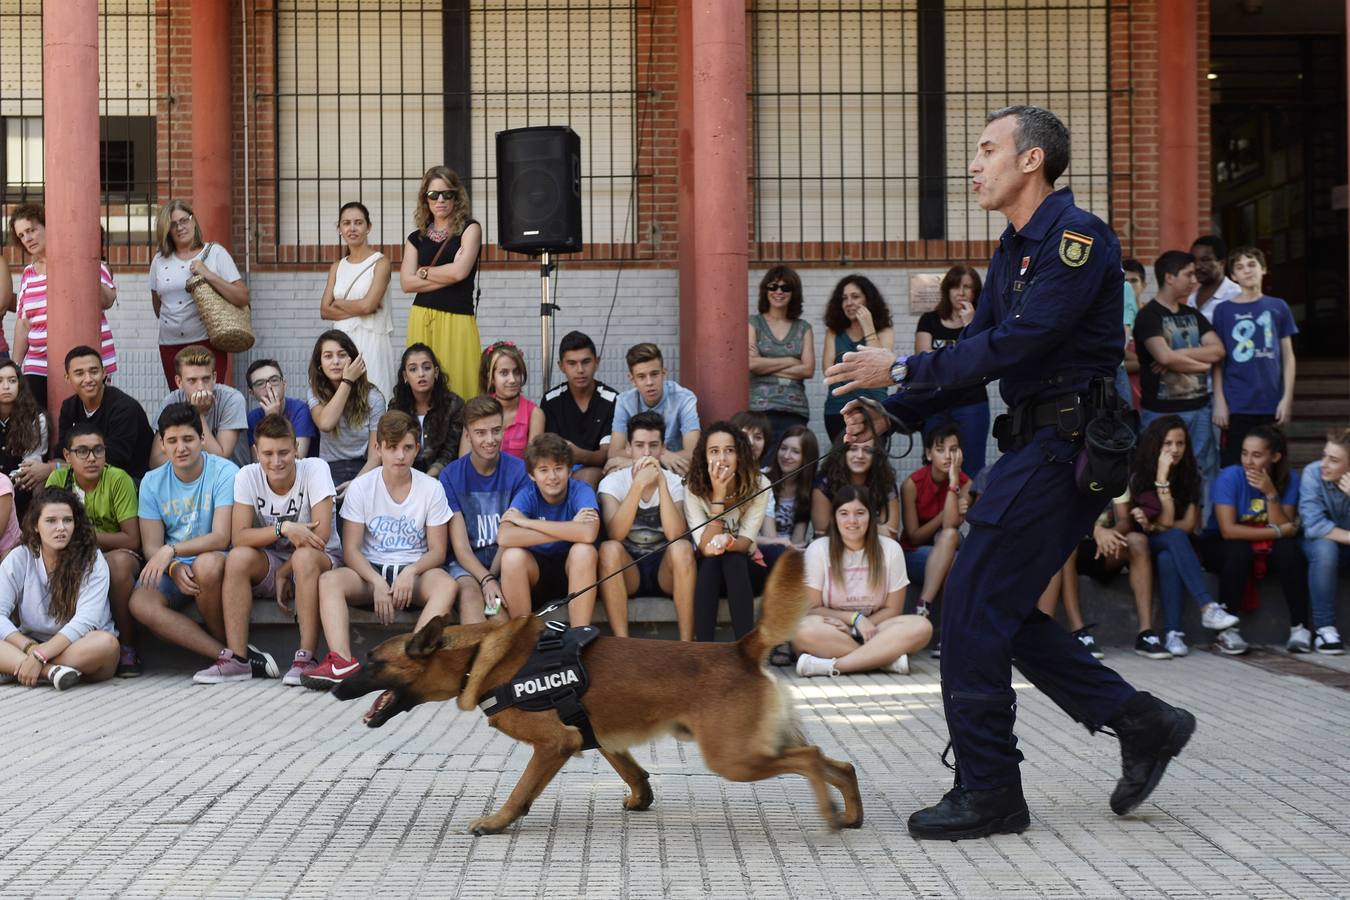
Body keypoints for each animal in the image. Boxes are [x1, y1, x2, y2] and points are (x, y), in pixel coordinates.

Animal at [334, 550, 864, 836]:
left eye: (374, 662)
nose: (336, 688)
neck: (479, 653)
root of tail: (740, 647)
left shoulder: (555, 744)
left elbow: (521, 791)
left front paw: (498, 822)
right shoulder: (599, 735)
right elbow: (631, 770)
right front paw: (640, 798)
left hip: (733, 758)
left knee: (811, 760)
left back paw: (828, 812)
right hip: (755, 748)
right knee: (840, 764)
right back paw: (850, 815)